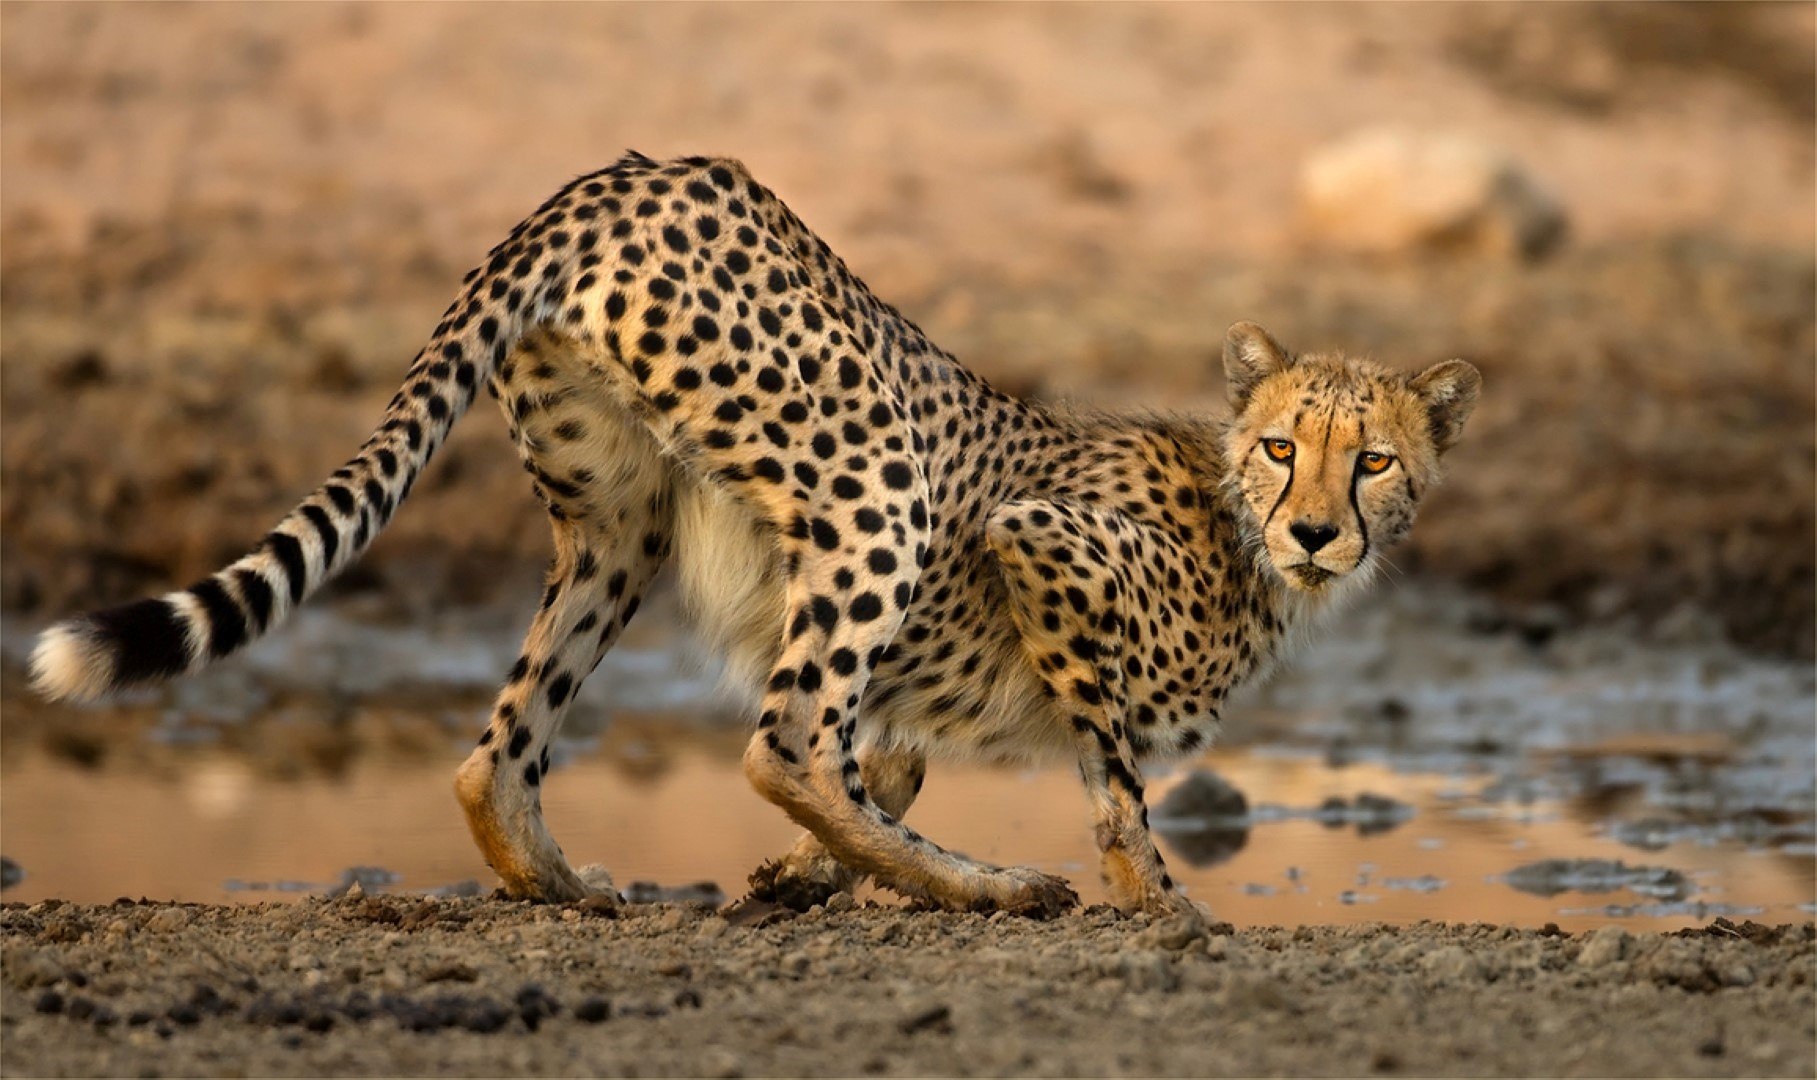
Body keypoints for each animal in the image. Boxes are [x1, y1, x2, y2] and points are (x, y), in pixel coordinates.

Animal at [32, 150, 1475, 916]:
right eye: (1284, 448)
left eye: (1374, 460)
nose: (1316, 533)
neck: (1239, 531)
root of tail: (621, 176)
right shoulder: (1040, 539)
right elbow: (1110, 780)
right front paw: (1164, 912)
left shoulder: (920, 692)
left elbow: (890, 760)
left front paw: (795, 883)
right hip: (876, 480)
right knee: (781, 741)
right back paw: (987, 887)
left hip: (617, 530)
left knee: (499, 751)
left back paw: (563, 884)